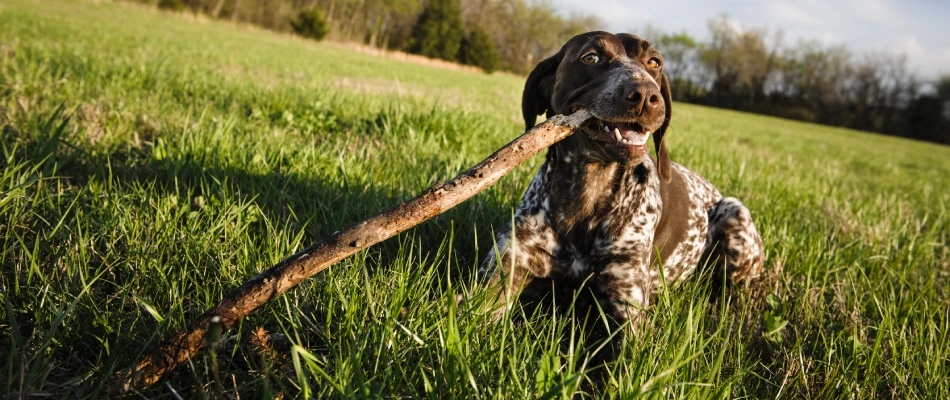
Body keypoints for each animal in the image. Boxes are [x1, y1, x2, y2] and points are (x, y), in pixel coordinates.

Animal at [476, 31, 768, 330]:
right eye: (591, 57)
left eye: (654, 62)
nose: (646, 95)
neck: (587, 192)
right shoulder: (499, 277)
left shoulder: (626, 307)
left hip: (735, 213)